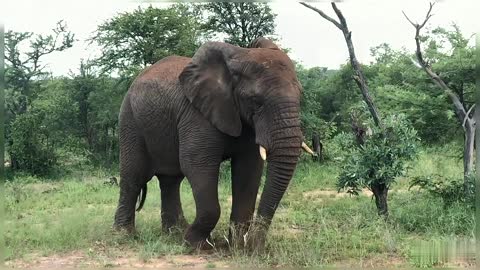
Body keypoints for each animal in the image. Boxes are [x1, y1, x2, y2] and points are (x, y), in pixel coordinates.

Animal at [112, 37, 316, 250]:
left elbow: (249, 168)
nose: (255, 247)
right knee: (133, 176)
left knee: (171, 179)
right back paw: (125, 235)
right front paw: (197, 244)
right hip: (129, 119)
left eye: (300, 96)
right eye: (255, 101)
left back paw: (174, 232)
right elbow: (197, 164)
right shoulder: (196, 114)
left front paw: (236, 247)